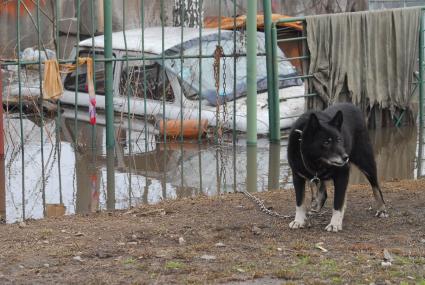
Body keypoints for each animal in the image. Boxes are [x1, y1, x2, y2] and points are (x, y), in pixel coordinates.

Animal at [286, 102, 386, 231]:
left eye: (339, 139)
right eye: (326, 142)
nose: (346, 157)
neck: (317, 161)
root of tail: (352, 105)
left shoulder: (342, 174)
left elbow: (338, 201)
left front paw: (334, 224)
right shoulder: (297, 176)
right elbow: (300, 201)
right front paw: (298, 221)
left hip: (366, 162)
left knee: (375, 186)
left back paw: (382, 209)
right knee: (323, 191)